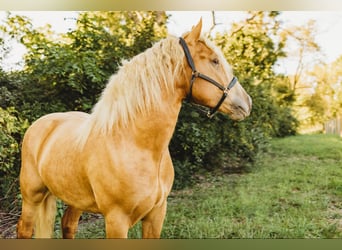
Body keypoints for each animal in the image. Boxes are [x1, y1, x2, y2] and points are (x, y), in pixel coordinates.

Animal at [16, 19, 251, 238]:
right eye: (214, 61)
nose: (247, 102)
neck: (136, 144)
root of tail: (41, 123)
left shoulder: (156, 214)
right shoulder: (116, 220)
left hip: (75, 198)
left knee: (68, 225)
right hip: (31, 196)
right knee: (24, 230)